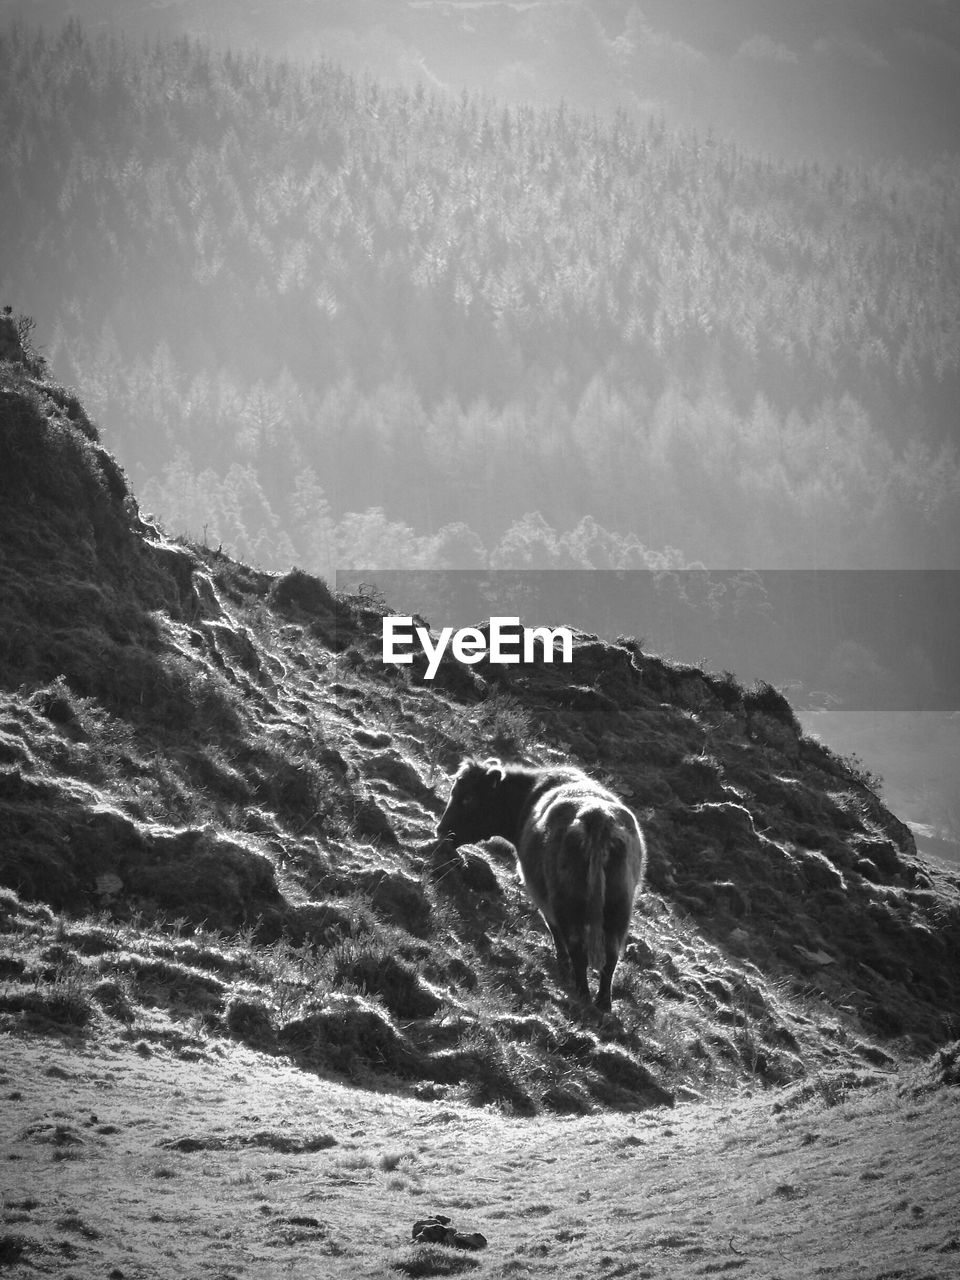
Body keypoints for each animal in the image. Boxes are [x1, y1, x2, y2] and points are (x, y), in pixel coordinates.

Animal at [440, 752, 650, 1013]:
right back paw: (603, 1003)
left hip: (566, 901)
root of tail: (597, 818)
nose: (441, 831)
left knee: (577, 948)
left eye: (468, 798)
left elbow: (554, 930)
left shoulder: (542, 895)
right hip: (619, 908)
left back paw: (581, 992)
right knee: (610, 957)